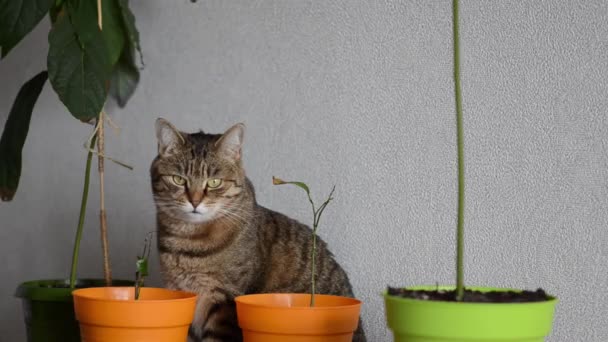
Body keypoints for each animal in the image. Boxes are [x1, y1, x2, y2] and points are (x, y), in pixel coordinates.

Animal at [151, 118, 366, 342]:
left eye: (214, 182)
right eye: (178, 179)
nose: (194, 201)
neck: (187, 240)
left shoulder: (224, 300)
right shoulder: (180, 293)